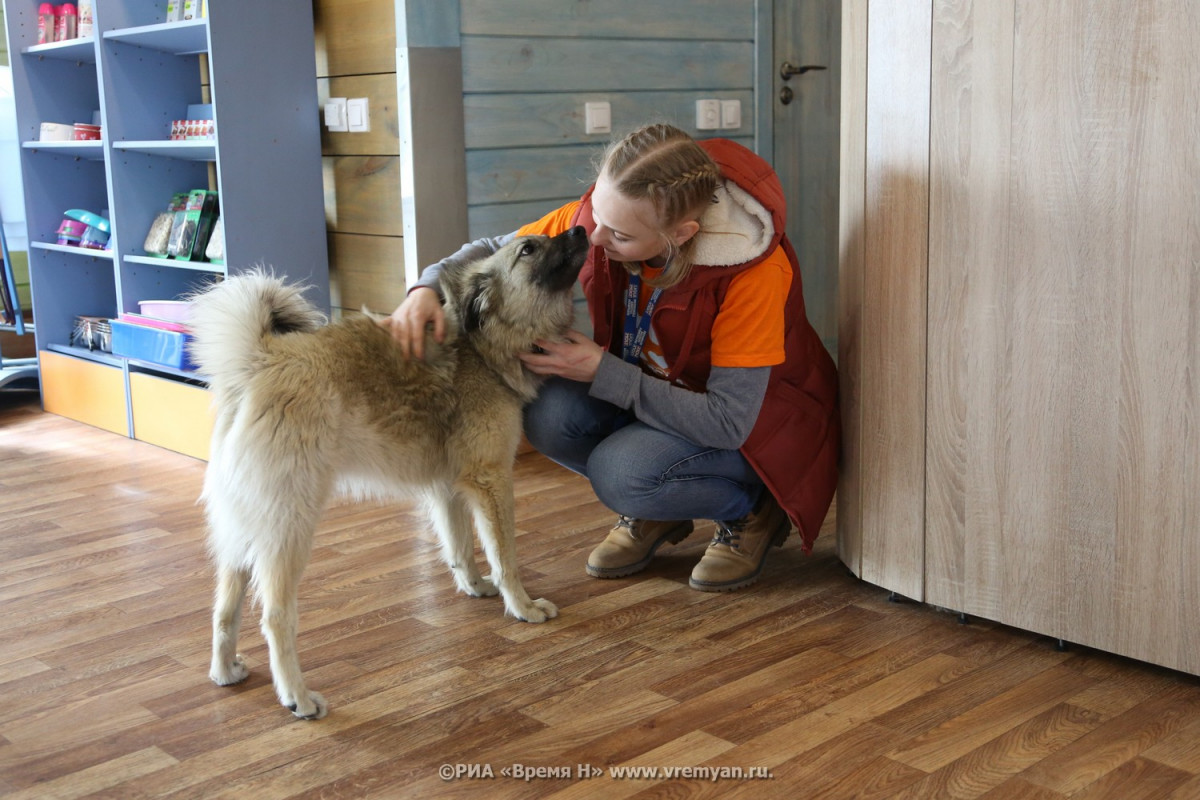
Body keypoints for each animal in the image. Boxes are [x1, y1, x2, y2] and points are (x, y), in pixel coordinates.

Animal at [186, 225, 590, 719]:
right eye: (529, 248)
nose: (581, 228)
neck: (481, 346)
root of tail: (261, 361)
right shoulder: (491, 480)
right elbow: (505, 555)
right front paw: (524, 607)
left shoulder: (448, 489)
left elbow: (461, 547)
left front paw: (476, 586)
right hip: (288, 531)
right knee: (275, 618)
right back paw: (297, 696)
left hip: (244, 530)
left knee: (224, 609)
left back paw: (224, 671)